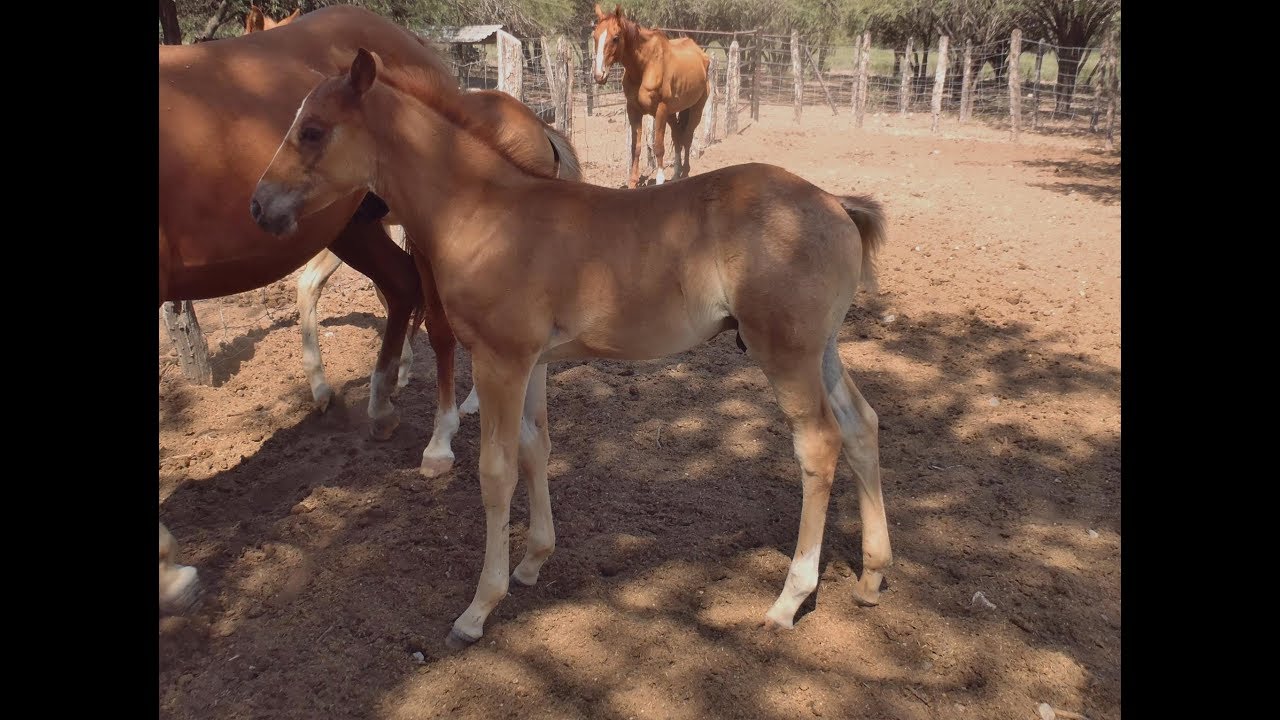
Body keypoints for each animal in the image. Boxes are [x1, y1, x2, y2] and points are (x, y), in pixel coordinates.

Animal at [239, 3, 581, 431]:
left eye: (312, 131)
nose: (258, 205)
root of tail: (541, 126)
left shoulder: (363, 235)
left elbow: (327, 286)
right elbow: (382, 290)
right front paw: (396, 370)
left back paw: (473, 400)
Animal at [252, 47, 894, 648]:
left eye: (313, 130)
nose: (260, 206)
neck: (483, 212)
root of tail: (836, 203)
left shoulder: (500, 361)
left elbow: (495, 472)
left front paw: (479, 608)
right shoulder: (532, 362)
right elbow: (536, 449)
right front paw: (535, 560)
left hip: (784, 355)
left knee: (819, 444)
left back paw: (789, 600)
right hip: (822, 350)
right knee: (862, 425)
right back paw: (870, 577)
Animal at [591, 4, 710, 188]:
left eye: (616, 38)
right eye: (595, 36)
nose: (599, 75)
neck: (645, 66)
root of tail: (702, 55)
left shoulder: (660, 110)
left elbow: (658, 147)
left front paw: (660, 179)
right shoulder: (633, 111)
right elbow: (636, 147)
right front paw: (633, 181)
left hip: (695, 109)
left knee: (687, 137)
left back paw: (684, 173)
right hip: (672, 113)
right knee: (677, 136)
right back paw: (675, 174)